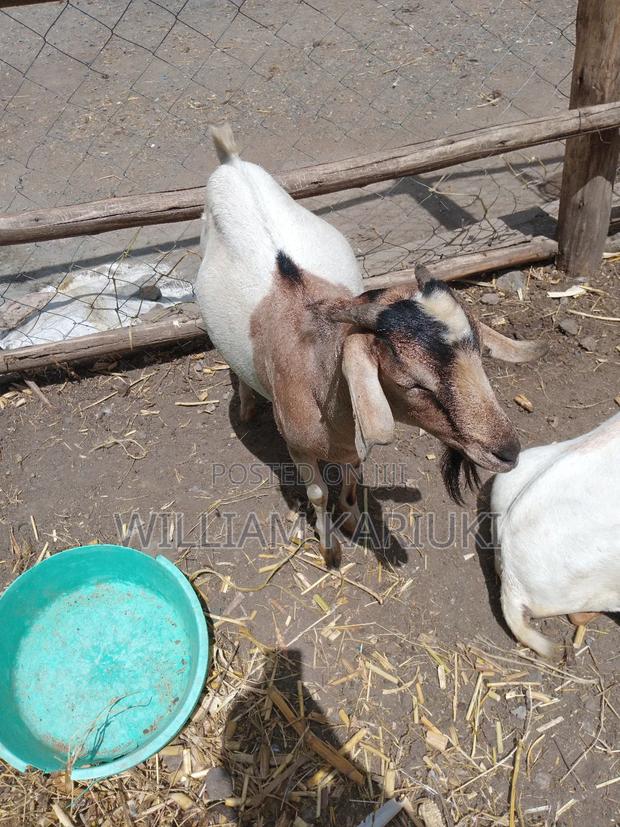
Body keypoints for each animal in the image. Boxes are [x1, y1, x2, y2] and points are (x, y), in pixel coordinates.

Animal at [196, 124, 542, 566]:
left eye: (479, 356)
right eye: (413, 383)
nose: (508, 451)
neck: (318, 379)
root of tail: (231, 162)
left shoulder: (354, 440)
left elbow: (352, 474)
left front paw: (351, 516)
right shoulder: (297, 448)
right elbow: (316, 494)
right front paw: (330, 550)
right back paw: (245, 405)